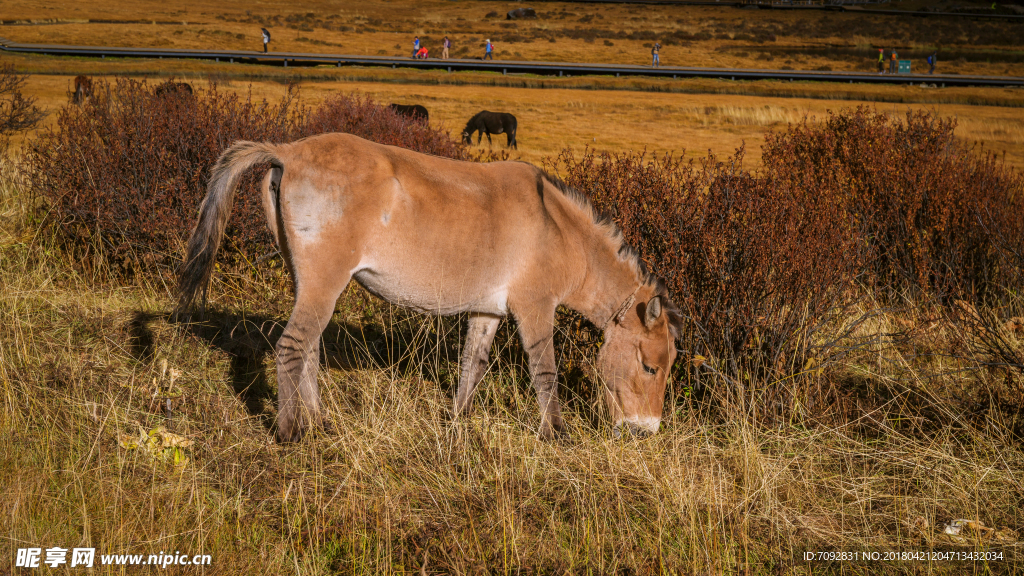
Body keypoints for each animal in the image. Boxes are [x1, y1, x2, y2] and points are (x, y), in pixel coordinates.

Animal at [180, 132, 684, 440]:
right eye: (650, 368)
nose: (646, 431)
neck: (557, 227)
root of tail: (289, 151)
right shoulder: (535, 308)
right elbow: (545, 372)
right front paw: (555, 434)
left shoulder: (488, 310)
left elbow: (472, 366)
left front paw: (458, 421)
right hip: (324, 282)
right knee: (291, 347)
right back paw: (290, 430)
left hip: (311, 283)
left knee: (308, 349)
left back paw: (319, 421)